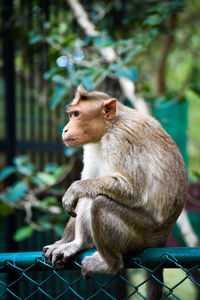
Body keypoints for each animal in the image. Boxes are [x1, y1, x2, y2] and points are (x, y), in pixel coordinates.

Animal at [42, 85, 188, 298]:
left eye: (77, 114)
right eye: (71, 114)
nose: (65, 129)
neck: (108, 127)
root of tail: (162, 237)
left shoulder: (120, 139)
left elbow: (132, 189)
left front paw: (73, 190)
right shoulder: (92, 144)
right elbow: (88, 181)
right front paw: (62, 241)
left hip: (142, 234)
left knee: (100, 202)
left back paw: (110, 265)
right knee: (91, 195)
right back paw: (78, 244)